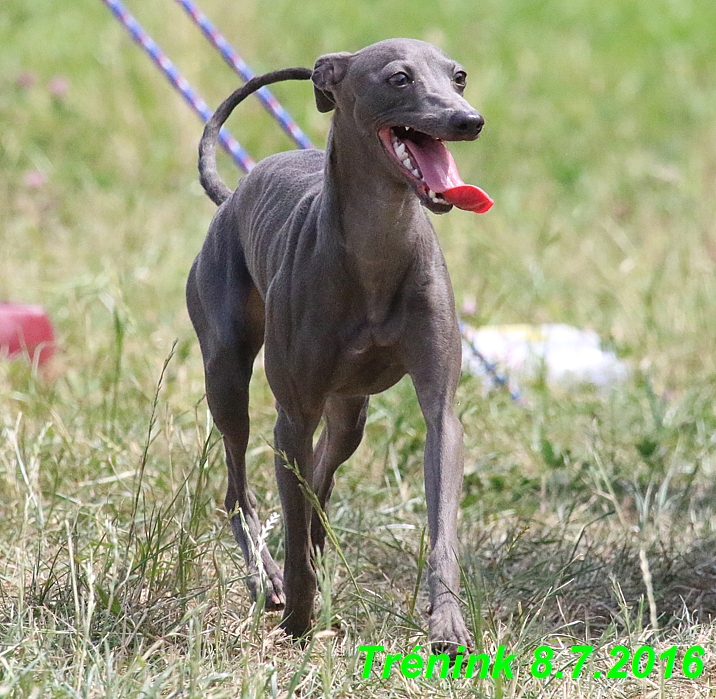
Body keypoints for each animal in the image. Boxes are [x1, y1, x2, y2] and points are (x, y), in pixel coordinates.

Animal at [186, 37, 492, 652]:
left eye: (459, 77)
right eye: (399, 78)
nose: (468, 121)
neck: (378, 247)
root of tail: (233, 195)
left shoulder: (441, 412)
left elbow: (442, 526)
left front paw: (448, 624)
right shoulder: (293, 416)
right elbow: (292, 504)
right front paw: (298, 621)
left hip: (349, 412)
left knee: (321, 483)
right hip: (228, 376)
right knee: (240, 489)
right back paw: (268, 580)